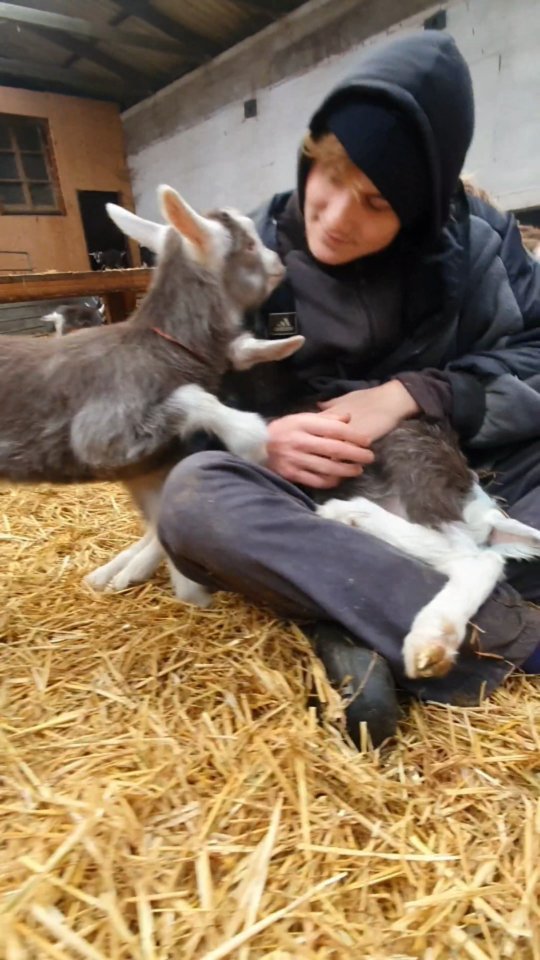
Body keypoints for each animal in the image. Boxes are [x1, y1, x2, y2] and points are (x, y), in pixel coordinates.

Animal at [0, 185, 304, 603]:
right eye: (247, 244)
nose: (278, 262)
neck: (161, 348)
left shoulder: (146, 468)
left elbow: (162, 523)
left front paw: (178, 588)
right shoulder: (103, 434)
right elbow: (190, 396)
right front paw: (250, 435)